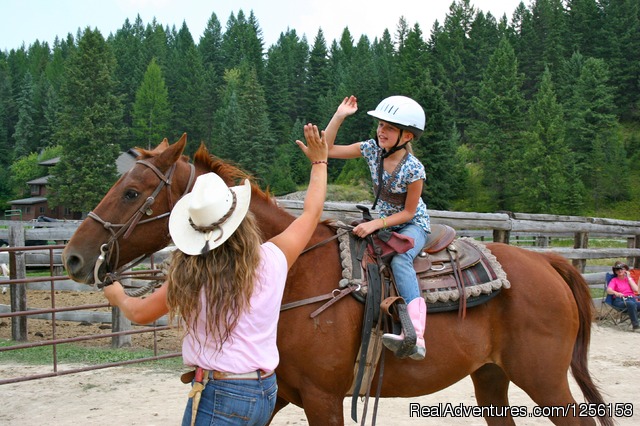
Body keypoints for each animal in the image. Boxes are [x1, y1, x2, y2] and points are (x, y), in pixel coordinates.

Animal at [63, 136, 608, 426]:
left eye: (132, 192)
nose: (74, 257)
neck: (297, 273)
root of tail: (550, 263)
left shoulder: (324, 399)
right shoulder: (281, 390)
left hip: (544, 380)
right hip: (492, 375)